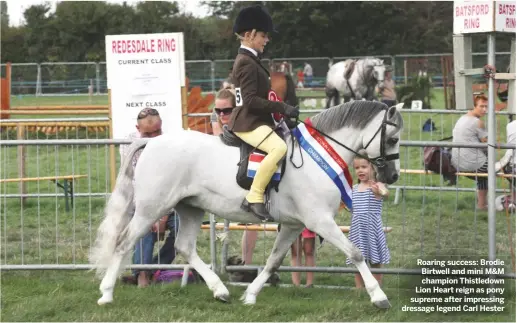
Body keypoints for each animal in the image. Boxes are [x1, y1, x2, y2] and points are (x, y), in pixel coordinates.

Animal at [88, 100, 404, 308]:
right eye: (392, 138)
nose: (392, 175)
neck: (319, 155)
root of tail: (151, 142)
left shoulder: (293, 225)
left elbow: (274, 260)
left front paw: (250, 294)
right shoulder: (320, 220)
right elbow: (357, 253)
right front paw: (379, 296)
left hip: (190, 207)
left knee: (184, 247)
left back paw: (220, 291)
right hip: (151, 209)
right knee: (123, 242)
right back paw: (106, 294)